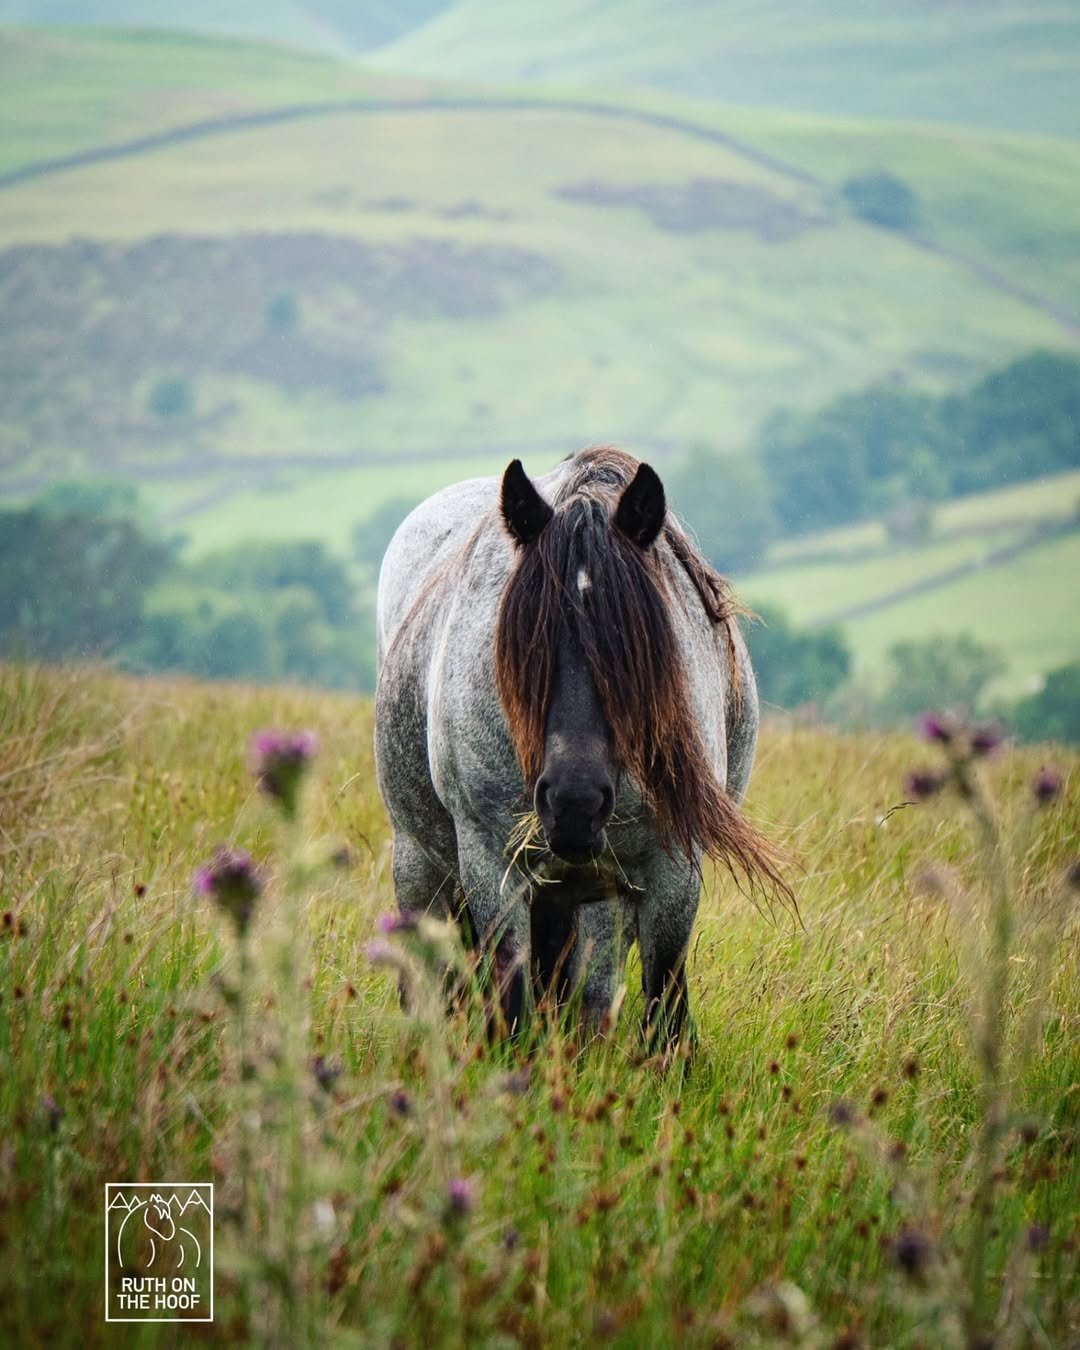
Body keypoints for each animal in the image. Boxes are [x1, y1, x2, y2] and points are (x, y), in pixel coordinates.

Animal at [374, 445, 785, 1047]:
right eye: (523, 645)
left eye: (635, 651)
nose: (575, 804)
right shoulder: (491, 862)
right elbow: (510, 1004)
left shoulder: (671, 872)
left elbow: (665, 1008)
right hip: (419, 863)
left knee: (591, 993)